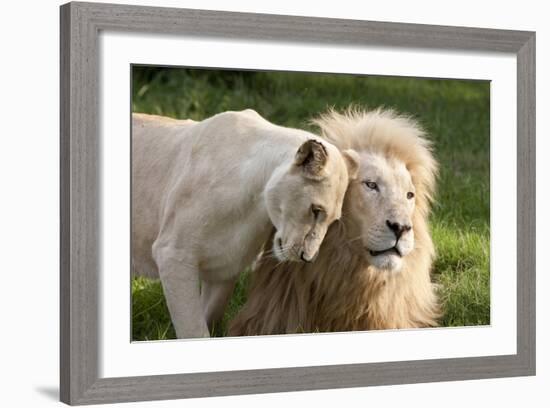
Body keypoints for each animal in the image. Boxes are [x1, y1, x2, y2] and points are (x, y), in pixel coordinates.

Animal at [132, 108, 360, 338]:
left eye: (333, 221)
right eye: (316, 211)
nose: (307, 258)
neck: (255, 208)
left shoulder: (225, 267)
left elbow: (210, 316)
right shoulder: (173, 255)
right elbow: (193, 329)